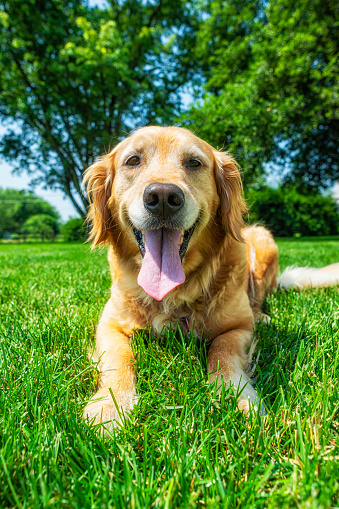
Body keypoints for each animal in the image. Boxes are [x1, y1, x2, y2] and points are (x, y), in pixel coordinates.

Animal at [83, 124, 339, 428]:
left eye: (194, 163)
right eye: (133, 160)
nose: (163, 198)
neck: (176, 292)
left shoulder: (238, 326)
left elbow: (222, 351)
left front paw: (235, 397)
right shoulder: (109, 324)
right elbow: (119, 359)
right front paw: (110, 407)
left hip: (263, 240)